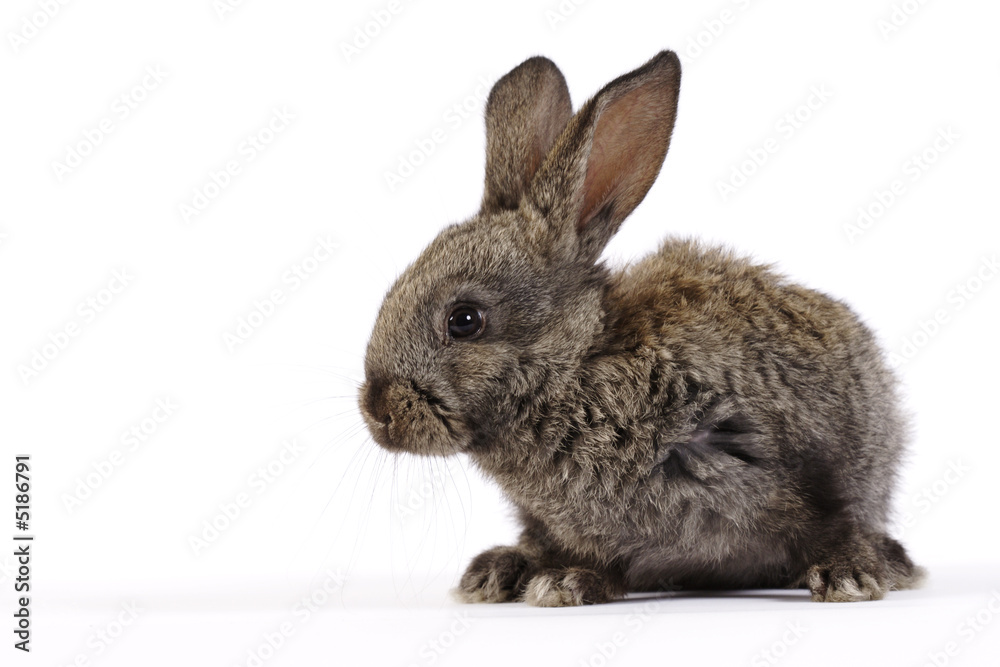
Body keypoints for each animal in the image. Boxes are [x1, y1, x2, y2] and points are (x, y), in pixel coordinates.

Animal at [358, 50, 924, 606]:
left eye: (464, 321)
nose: (378, 412)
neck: (577, 365)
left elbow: (830, 524)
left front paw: (850, 577)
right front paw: (560, 579)